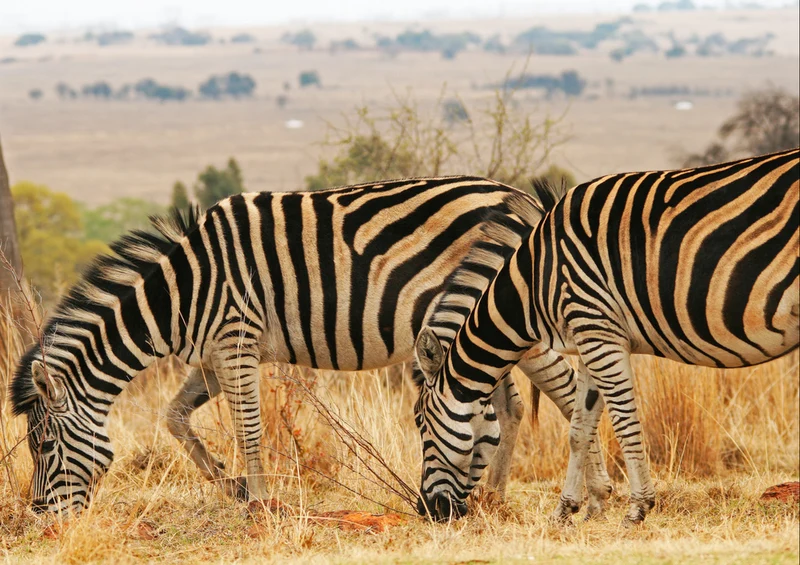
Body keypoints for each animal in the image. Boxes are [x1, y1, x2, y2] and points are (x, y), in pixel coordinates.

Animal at [9, 175, 610, 514]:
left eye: (43, 446)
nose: (40, 513)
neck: (181, 294)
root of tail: (518, 196)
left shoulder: (236, 339)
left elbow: (249, 429)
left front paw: (257, 502)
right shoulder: (211, 357)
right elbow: (175, 418)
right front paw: (229, 487)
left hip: (506, 309)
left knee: (569, 391)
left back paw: (594, 496)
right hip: (482, 323)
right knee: (513, 404)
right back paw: (497, 495)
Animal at [412, 149, 799, 524]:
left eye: (421, 425)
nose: (428, 510)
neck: (533, 280)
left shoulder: (598, 331)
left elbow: (625, 423)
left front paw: (638, 507)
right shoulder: (589, 337)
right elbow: (579, 428)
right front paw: (565, 510)